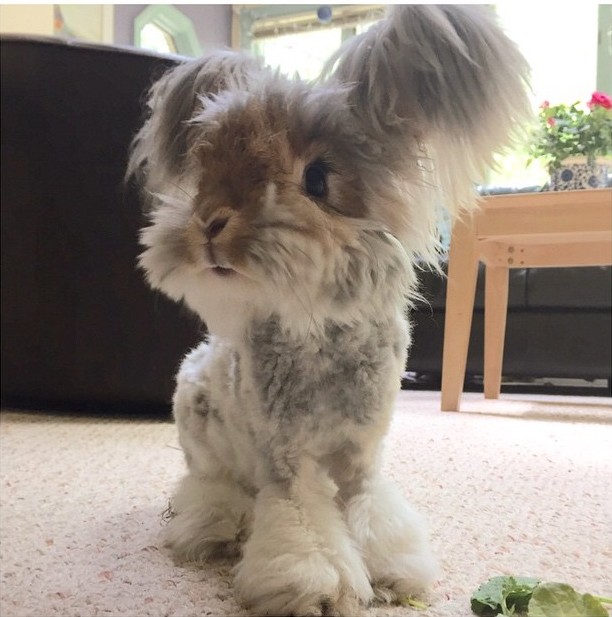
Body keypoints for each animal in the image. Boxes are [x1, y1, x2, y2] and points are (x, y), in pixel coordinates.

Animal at [125, 6, 532, 616]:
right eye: (205, 173)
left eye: (317, 178)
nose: (209, 225)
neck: (320, 326)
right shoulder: (285, 459)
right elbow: (302, 522)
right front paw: (318, 592)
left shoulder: (362, 452)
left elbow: (371, 507)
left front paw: (393, 576)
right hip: (200, 430)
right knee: (210, 486)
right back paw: (216, 531)